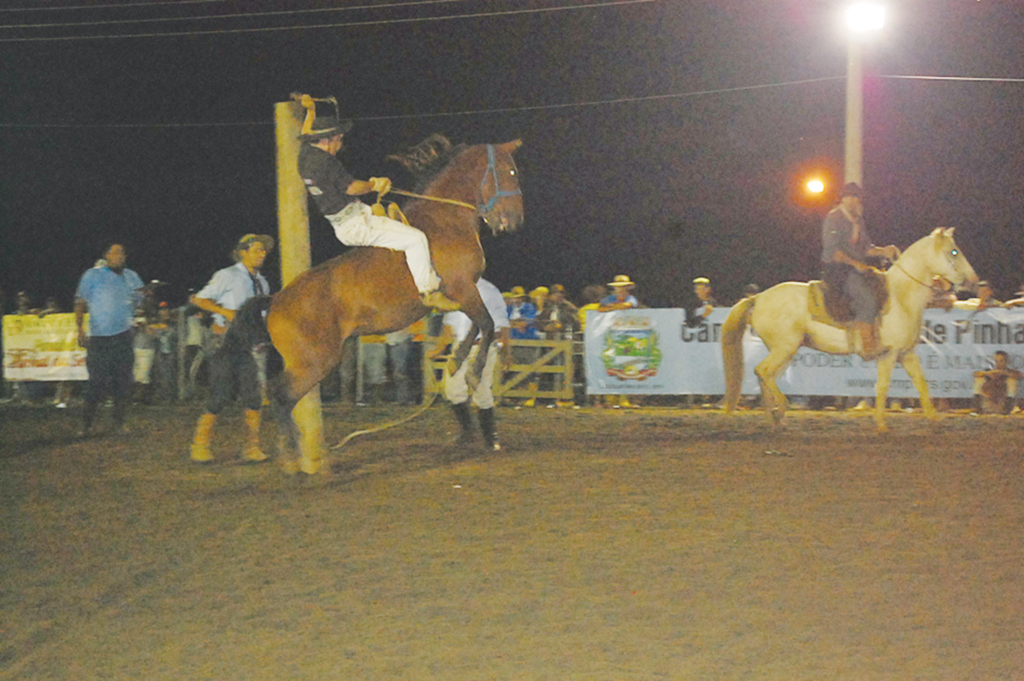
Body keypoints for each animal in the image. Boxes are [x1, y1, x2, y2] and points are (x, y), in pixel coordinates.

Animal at [234, 133, 520, 473]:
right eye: (510, 171)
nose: (515, 221)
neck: (445, 219)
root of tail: (276, 300)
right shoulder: (462, 289)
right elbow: (486, 324)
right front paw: (472, 370)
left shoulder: (463, 294)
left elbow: (477, 327)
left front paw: (457, 360)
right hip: (314, 362)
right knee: (279, 394)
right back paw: (295, 457)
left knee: (281, 396)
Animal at [724, 228, 978, 430]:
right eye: (954, 251)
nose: (973, 280)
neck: (901, 297)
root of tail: (757, 298)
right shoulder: (890, 354)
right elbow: (882, 387)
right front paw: (881, 425)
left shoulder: (907, 354)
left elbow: (922, 384)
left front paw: (934, 420)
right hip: (784, 348)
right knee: (762, 371)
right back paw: (780, 410)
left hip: (784, 351)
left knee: (765, 376)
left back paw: (774, 420)